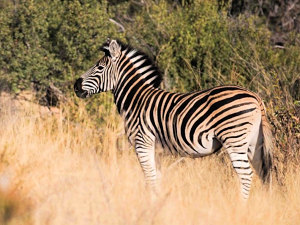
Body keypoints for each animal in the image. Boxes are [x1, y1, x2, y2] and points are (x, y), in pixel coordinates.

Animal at [74, 39, 274, 200]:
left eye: (99, 67)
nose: (76, 86)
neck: (136, 99)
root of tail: (255, 96)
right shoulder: (156, 148)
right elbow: (156, 177)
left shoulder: (142, 142)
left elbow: (149, 177)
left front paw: (151, 205)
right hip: (254, 144)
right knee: (263, 173)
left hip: (234, 139)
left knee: (246, 175)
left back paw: (241, 206)